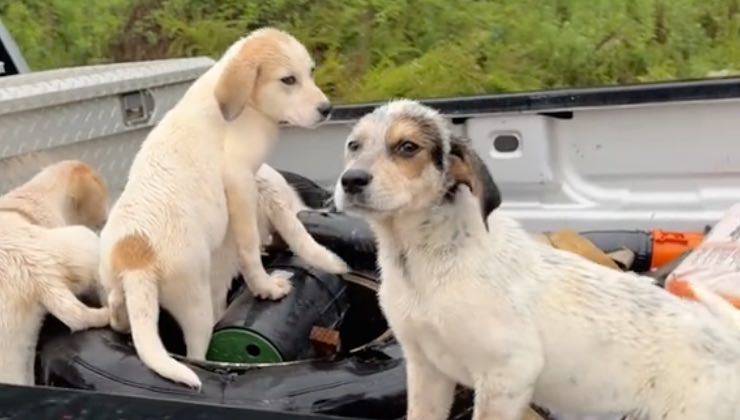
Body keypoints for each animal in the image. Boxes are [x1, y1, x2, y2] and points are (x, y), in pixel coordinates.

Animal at [99, 27, 350, 388]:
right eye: (288, 80)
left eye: (311, 72)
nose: (326, 109)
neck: (246, 108)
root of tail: (135, 257)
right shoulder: (240, 180)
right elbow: (253, 244)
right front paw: (266, 286)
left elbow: (292, 224)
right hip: (196, 306)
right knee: (195, 351)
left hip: (119, 289)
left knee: (118, 312)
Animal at [336, 101, 740, 420]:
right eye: (353, 146)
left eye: (407, 147)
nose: (350, 180)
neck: (424, 259)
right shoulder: (426, 368)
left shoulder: (509, 373)